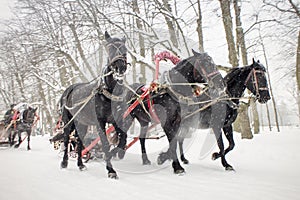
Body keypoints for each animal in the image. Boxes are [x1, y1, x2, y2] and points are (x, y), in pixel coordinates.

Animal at [59, 30, 127, 178]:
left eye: (125, 50)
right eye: (110, 48)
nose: (120, 67)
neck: (108, 90)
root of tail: (69, 89)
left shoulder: (117, 119)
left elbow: (123, 138)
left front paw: (115, 152)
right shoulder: (99, 122)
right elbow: (106, 144)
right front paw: (111, 170)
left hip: (82, 123)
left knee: (79, 142)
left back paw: (80, 164)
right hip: (68, 121)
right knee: (67, 139)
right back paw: (64, 162)